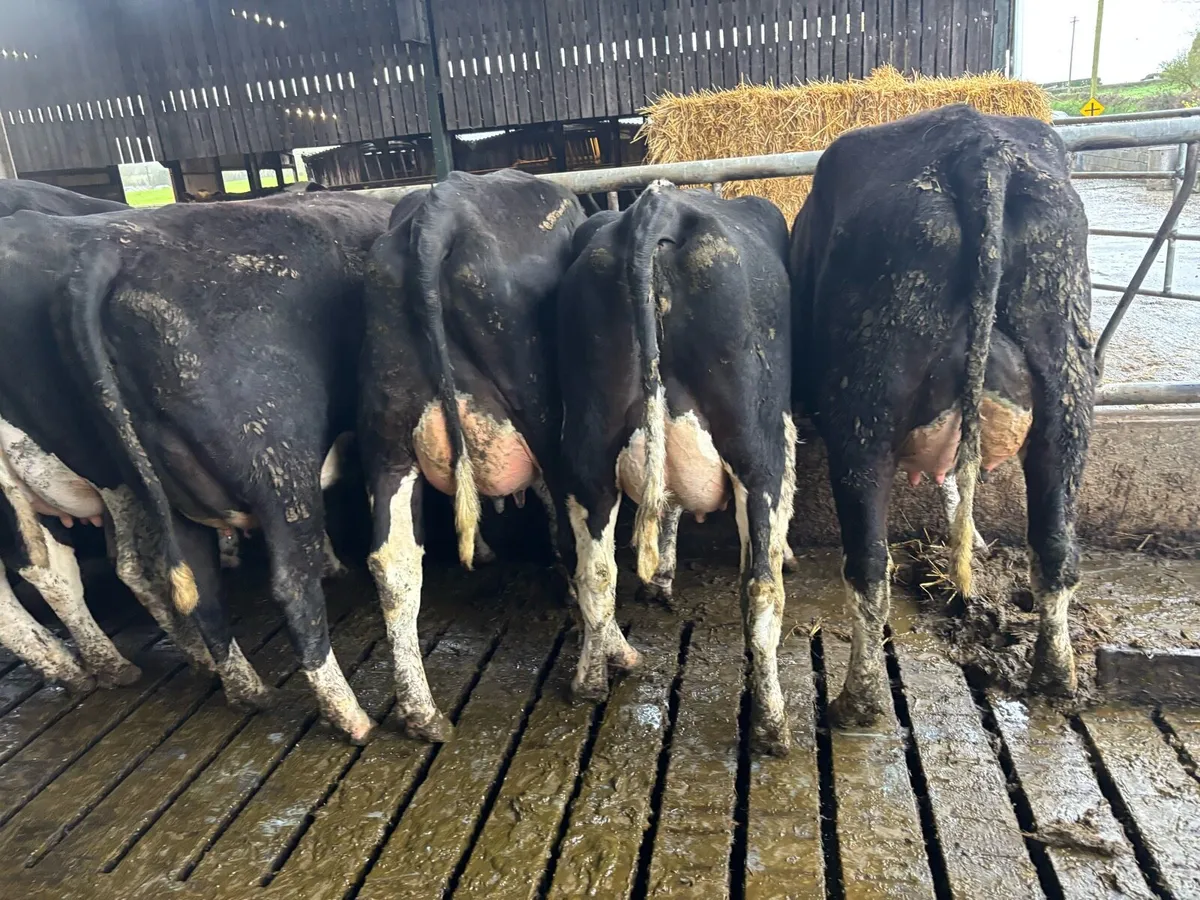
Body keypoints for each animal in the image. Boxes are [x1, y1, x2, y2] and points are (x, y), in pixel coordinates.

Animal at [10, 193, 393, 741]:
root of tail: (115, 254)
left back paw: (240, 687)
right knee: (291, 587)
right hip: (278, 461)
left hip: (162, 487)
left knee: (185, 584)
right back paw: (351, 715)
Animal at [358, 169, 585, 742]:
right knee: (578, 533)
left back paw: (423, 714)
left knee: (392, 562)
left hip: (388, 436)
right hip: (543, 413)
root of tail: (442, 209)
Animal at [556, 181, 797, 755]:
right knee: (761, 590)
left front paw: (661, 576)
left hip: (587, 446)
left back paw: (590, 680)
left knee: (595, 570)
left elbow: (665, 507)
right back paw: (773, 726)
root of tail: (657, 204)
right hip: (753, 443)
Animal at [789, 104, 1095, 726]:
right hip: (1068, 391)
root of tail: (976, 146)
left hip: (865, 406)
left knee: (869, 563)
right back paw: (1055, 679)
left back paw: (857, 703)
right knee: (1055, 545)